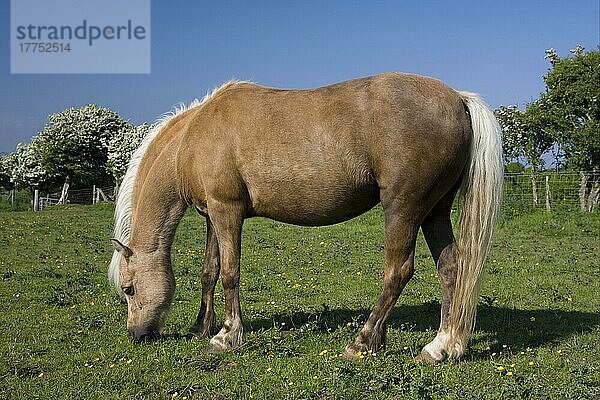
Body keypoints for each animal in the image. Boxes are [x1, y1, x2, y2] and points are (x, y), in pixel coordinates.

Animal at [108, 72, 502, 362]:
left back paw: (363, 341)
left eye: (128, 289)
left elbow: (230, 274)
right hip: (435, 212)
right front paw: (200, 328)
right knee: (451, 268)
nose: (136, 335)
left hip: (403, 209)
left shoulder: (227, 210)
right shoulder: (212, 215)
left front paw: (226, 336)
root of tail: (458, 99)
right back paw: (442, 347)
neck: (193, 137)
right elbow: (209, 272)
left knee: (398, 271)